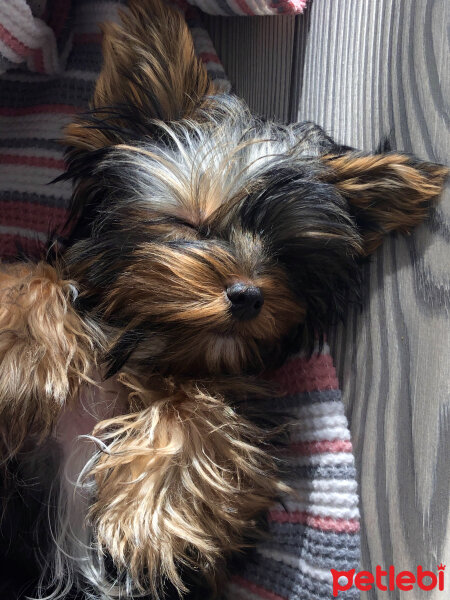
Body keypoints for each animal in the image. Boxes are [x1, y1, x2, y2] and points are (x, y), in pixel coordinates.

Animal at [0, 0, 448, 596]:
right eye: (192, 221)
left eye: (288, 255)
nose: (249, 295)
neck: (139, 345)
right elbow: (31, 276)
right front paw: (22, 361)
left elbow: (202, 407)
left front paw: (156, 514)